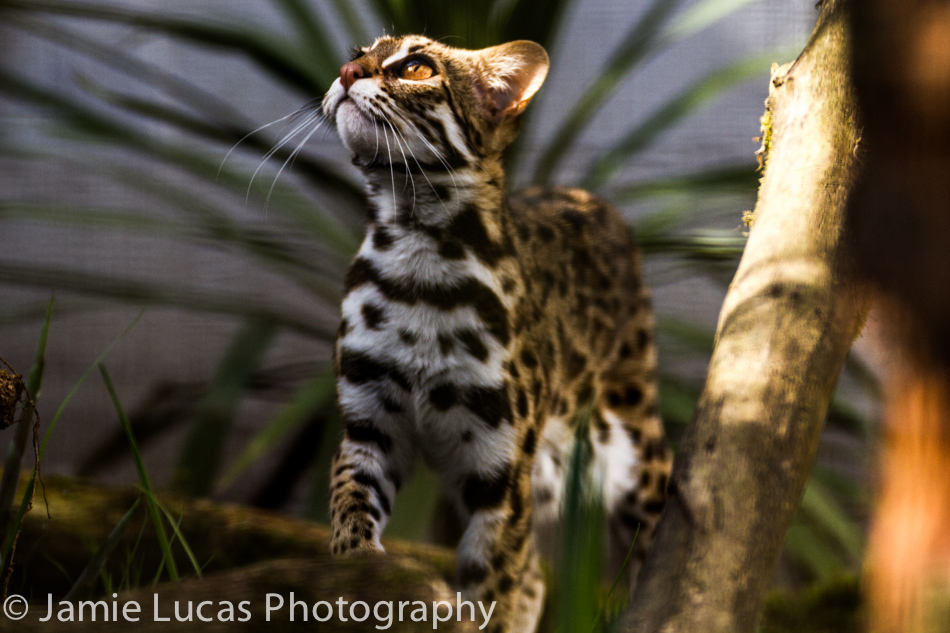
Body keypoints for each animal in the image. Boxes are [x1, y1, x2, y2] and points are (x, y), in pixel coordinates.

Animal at [321, 34, 671, 633]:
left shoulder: (502, 467)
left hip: (634, 437)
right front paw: (358, 574)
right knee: (534, 576)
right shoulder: (369, 420)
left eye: (417, 67)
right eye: (357, 50)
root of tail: (589, 198)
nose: (346, 72)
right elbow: (350, 503)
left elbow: (494, 581)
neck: (417, 246)